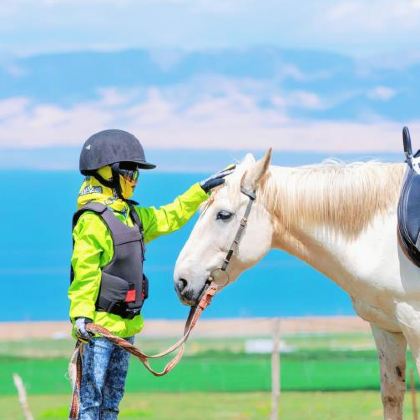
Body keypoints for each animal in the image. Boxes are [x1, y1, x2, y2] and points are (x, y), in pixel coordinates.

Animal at [174, 152, 420, 420]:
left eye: (224, 215)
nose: (181, 281)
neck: (382, 235)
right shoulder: (386, 327)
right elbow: (392, 396)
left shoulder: (413, 322)